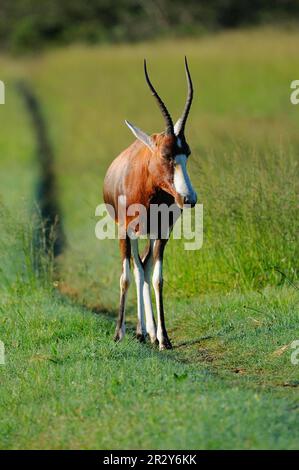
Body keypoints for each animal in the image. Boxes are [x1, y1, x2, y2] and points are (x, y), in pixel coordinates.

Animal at [104, 57, 198, 348]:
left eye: (187, 153)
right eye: (165, 154)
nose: (188, 198)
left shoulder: (162, 232)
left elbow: (157, 278)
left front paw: (164, 338)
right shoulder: (125, 231)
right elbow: (126, 276)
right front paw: (118, 333)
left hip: (148, 235)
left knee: (144, 267)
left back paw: (149, 332)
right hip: (131, 233)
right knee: (136, 269)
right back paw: (138, 331)